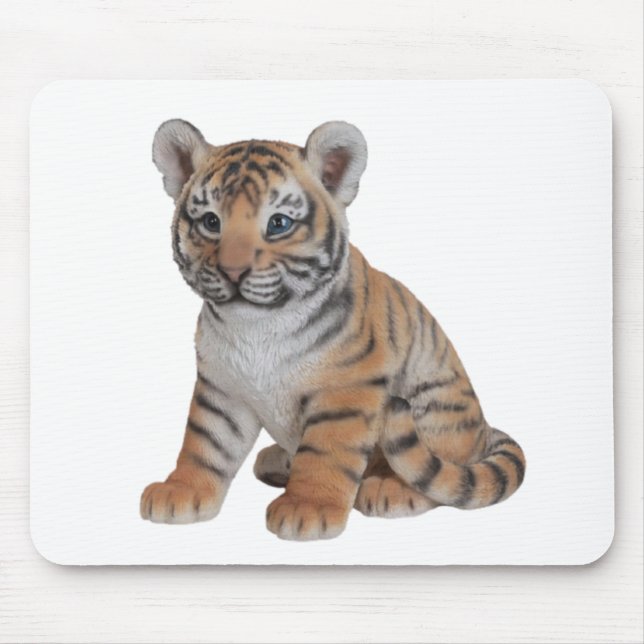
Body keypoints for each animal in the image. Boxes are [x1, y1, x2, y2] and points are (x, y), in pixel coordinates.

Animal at [140, 119, 526, 540]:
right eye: (211, 222)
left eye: (278, 223)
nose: (233, 271)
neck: (257, 326)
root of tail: (484, 430)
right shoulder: (222, 387)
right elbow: (206, 443)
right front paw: (180, 491)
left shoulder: (345, 389)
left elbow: (325, 452)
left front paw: (306, 508)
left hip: (436, 409)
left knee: (441, 476)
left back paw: (388, 490)